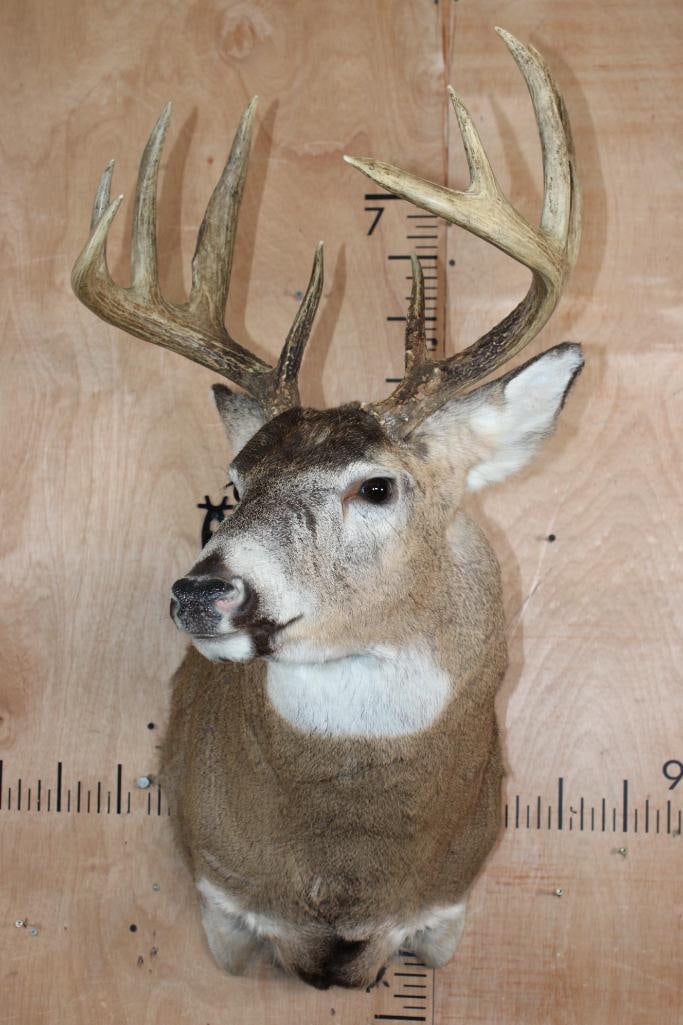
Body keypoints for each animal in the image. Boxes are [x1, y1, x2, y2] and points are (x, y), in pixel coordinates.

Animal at [71, 28, 582, 991]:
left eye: (376, 485)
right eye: (237, 480)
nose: (203, 593)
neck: (346, 883)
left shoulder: (448, 907)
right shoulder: (221, 902)